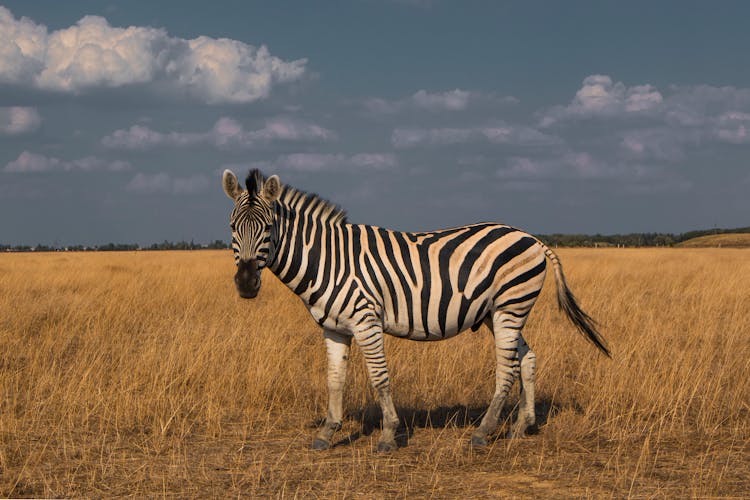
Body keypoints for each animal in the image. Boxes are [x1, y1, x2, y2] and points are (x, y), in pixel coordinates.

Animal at [222, 169, 612, 454]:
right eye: (232, 227)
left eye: (267, 227)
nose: (245, 284)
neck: (327, 260)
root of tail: (533, 238)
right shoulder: (333, 327)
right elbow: (334, 379)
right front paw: (327, 433)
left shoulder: (366, 320)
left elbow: (379, 378)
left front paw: (387, 436)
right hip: (498, 313)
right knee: (527, 358)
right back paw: (520, 427)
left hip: (509, 307)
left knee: (507, 368)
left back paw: (483, 433)